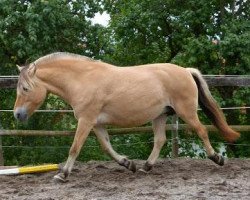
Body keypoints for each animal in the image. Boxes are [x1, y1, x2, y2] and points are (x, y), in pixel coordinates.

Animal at [13, 52, 240, 182]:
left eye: (25, 88)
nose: (17, 114)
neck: (82, 79)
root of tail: (185, 71)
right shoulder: (96, 124)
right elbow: (106, 147)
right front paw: (127, 163)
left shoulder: (86, 121)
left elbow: (75, 148)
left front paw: (62, 174)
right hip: (160, 116)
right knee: (160, 140)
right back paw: (146, 167)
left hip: (186, 112)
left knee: (201, 131)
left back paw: (217, 158)